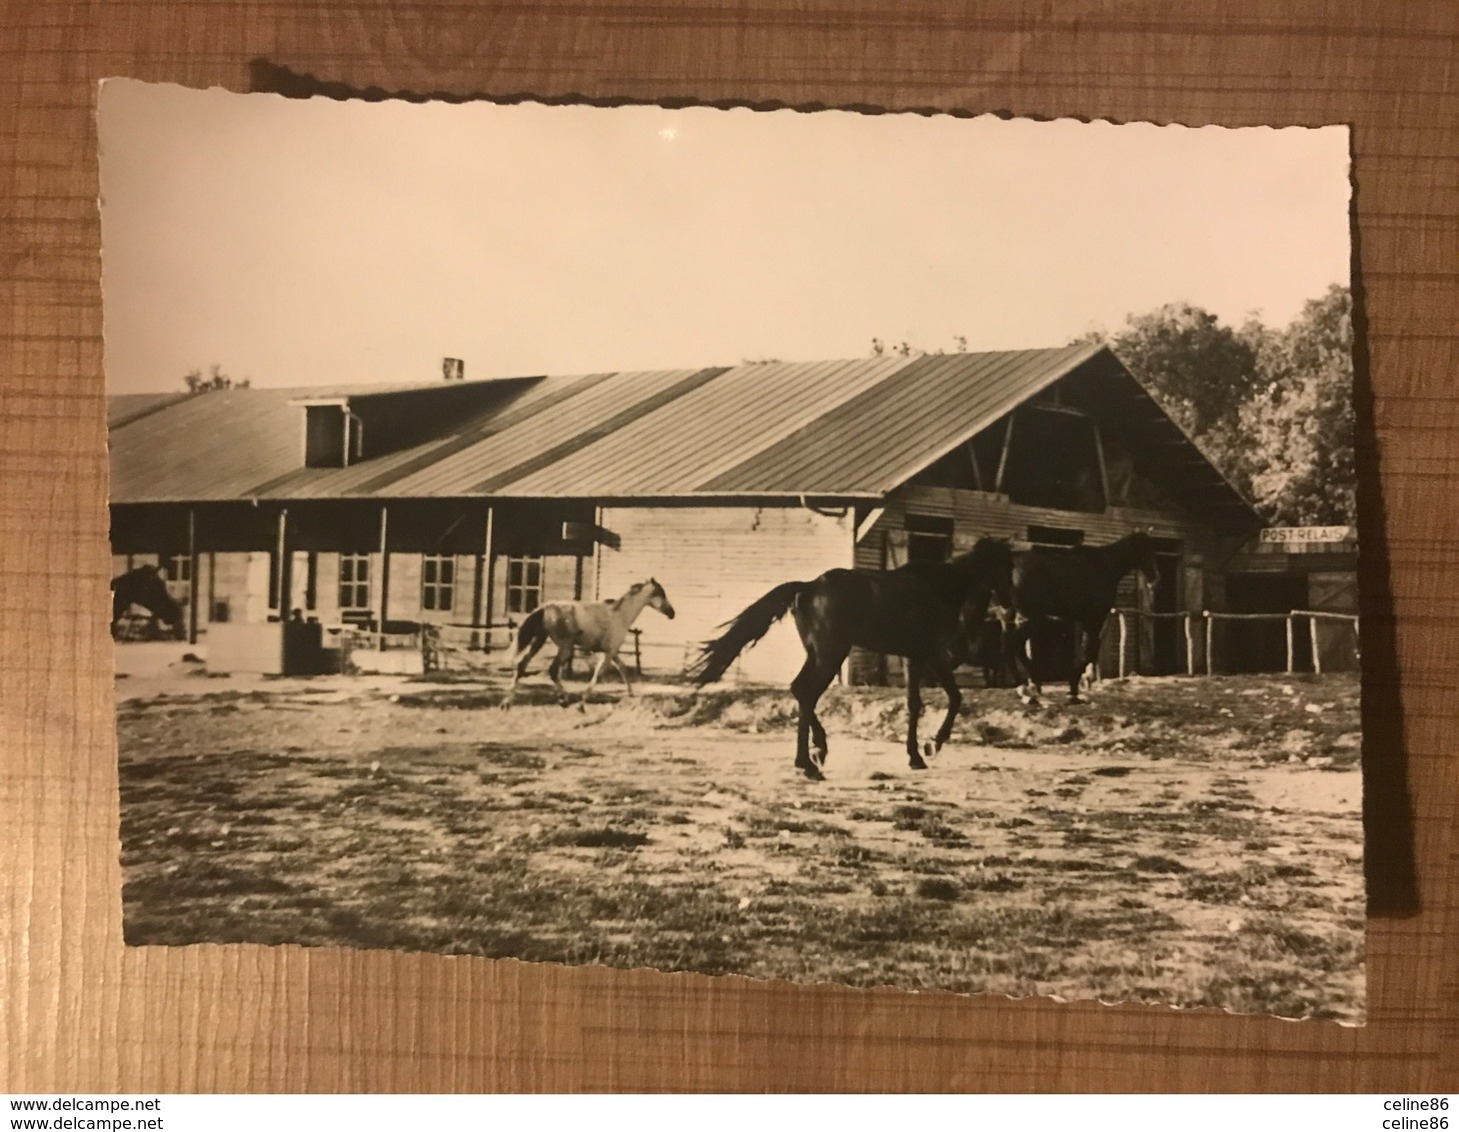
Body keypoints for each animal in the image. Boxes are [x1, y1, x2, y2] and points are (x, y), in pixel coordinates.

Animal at [504, 580, 674, 703]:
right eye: (660, 593)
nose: (672, 613)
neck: (620, 616)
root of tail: (545, 608)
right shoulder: (608, 652)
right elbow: (599, 673)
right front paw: (584, 698)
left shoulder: (612, 652)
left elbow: (623, 669)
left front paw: (631, 693)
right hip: (565, 647)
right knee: (552, 671)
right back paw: (564, 699)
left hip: (538, 641)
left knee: (521, 666)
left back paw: (507, 702)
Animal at [685, 539, 1009, 776]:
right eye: (1007, 570)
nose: (1008, 614)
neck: (937, 586)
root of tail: (809, 586)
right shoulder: (934, 654)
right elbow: (954, 698)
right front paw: (932, 745)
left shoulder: (913, 657)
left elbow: (915, 704)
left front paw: (916, 755)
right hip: (831, 654)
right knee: (806, 692)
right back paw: (808, 763)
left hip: (818, 653)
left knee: (799, 690)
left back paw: (817, 752)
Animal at [1003, 525, 1161, 703]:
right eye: (1145, 549)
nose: (1156, 579)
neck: (1104, 566)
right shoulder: (1094, 619)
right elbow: (1091, 649)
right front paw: (1074, 686)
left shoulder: (1086, 620)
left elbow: (1087, 649)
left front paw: (1077, 686)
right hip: (1032, 618)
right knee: (1013, 645)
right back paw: (1027, 688)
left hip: (1016, 618)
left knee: (1012, 646)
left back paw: (1030, 685)